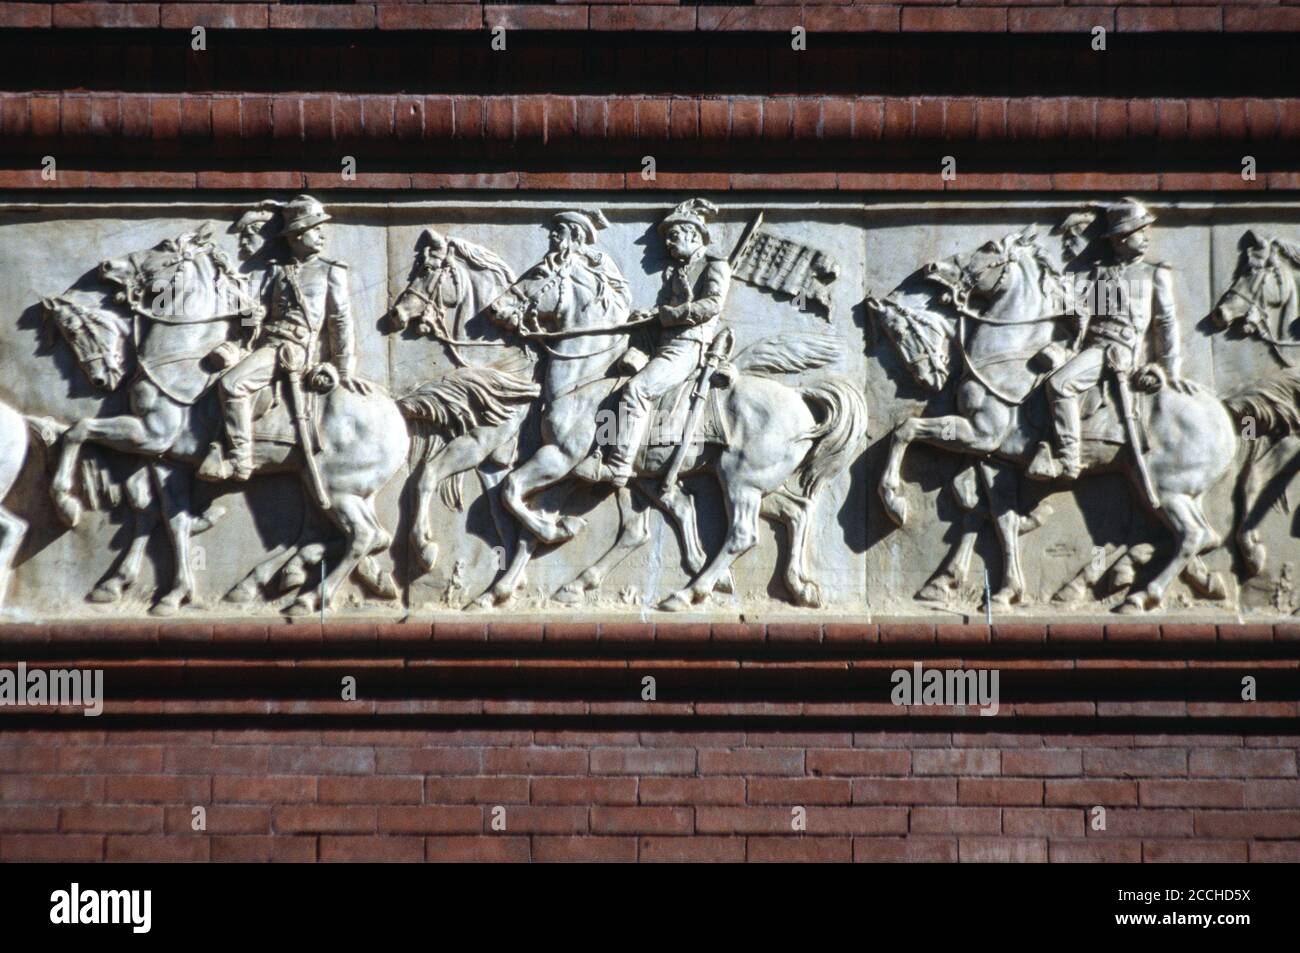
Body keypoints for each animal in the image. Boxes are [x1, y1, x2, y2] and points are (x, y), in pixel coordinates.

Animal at [44, 226, 410, 613]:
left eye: (74, 331)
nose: (107, 266)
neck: (183, 357)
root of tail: (395, 411)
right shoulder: (165, 458)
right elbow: (167, 516)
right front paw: (165, 591)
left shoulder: (150, 434)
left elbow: (78, 430)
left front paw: (66, 505)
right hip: (315, 481)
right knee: (345, 534)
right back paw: (269, 582)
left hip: (340, 488)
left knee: (363, 535)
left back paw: (311, 597)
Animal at [379, 230, 538, 579]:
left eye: (425, 270)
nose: (395, 315)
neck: (502, 360)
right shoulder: (492, 463)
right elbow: (504, 518)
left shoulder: (479, 442)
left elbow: (426, 474)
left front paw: (423, 547)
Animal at [478, 256, 863, 608]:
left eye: (539, 273)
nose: (495, 309)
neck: (586, 380)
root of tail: (800, 397)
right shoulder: (576, 471)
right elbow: (530, 525)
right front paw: (497, 591)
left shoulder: (561, 457)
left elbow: (511, 490)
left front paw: (560, 529)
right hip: (753, 482)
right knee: (796, 511)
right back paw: (799, 587)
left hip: (741, 480)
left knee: (742, 535)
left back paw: (688, 592)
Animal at [868, 234, 1232, 613]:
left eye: (900, 332)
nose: (932, 267)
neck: (1009, 357)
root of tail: (1224, 416)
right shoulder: (994, 457)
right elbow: (996, 514)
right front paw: (1000, 590)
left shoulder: (980, 434)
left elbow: (906, 430)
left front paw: (894, 502)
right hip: (1146, 479)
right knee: (1191, 535)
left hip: (1168, 488)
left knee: (1191, 535)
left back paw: (1141, 595)